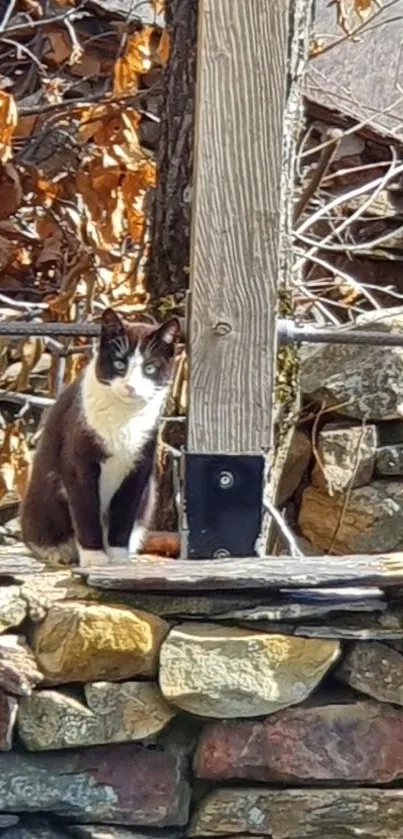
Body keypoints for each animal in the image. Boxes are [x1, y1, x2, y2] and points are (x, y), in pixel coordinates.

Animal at [20, 308, 181, 572]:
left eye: (150, 368)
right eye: (119, 363)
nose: (130, 387)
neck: (124, 417)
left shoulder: (139, 465)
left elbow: (124, 511)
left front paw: (117, 558)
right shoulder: (79, 461)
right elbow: (86, 509)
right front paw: (94, 558)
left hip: (149, 495)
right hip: (41, 500)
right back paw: (59, 551)